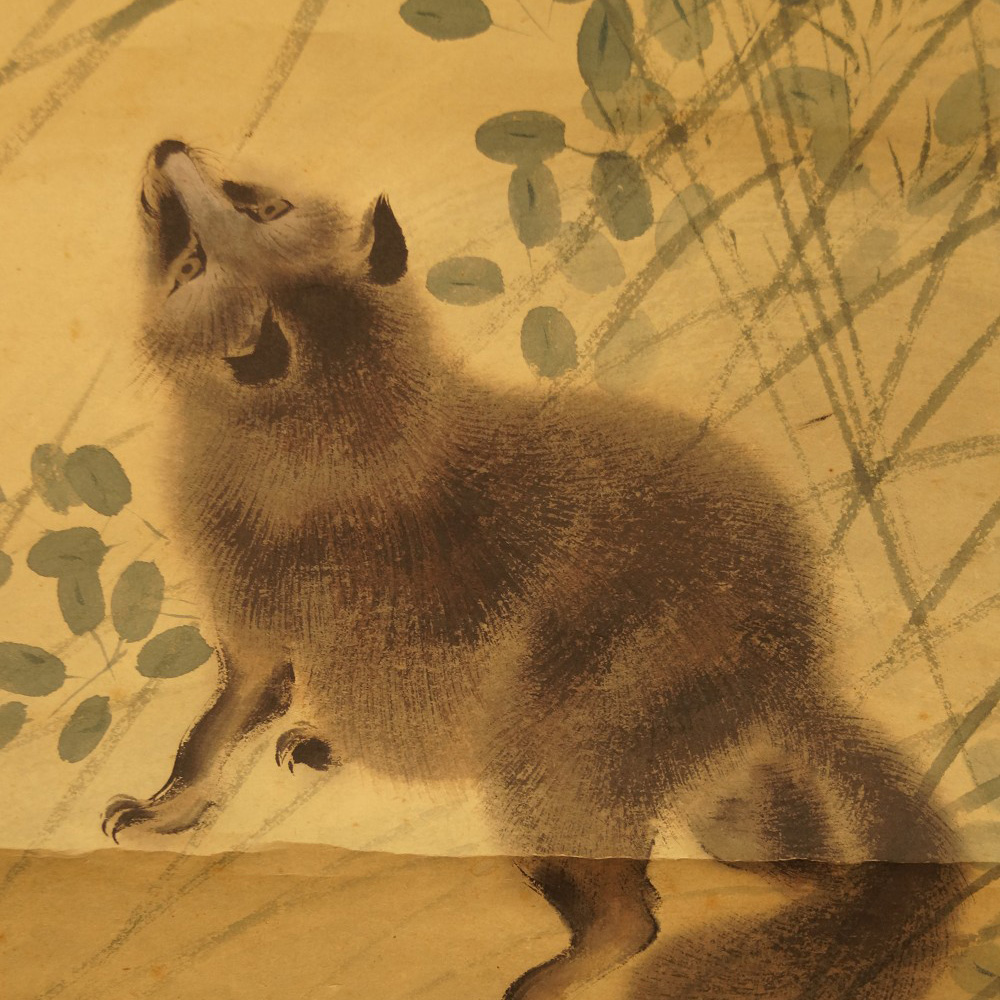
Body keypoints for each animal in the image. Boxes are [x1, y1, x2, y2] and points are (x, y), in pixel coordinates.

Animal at [105, 139, 963, 999]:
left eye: (235, 227)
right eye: (202, 250)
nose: (164, 151)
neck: (348, 413)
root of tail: (794, 667)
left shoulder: (257, 597)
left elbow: (226, 715)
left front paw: (161, 809)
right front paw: (285, 753)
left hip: (572, 740)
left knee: (632, 915)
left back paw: (550, 976)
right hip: (720, 786)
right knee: (795, 858)